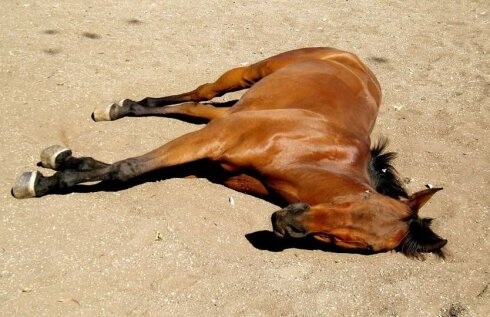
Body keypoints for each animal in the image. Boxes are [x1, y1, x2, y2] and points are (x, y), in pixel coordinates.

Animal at [11, 47, 448, 260]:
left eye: (366, 247)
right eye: (360, 201)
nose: (287, 222)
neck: (307, 152)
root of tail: (352, 57)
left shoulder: (207, 161)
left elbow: (124, 170)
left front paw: (61, 163)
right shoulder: (213, 142)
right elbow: (126, 168)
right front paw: (41, 182)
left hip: (230, 113)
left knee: (193, 107)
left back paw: (124, 107)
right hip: (245, 76)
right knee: (203, 91)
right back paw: (117, 109)